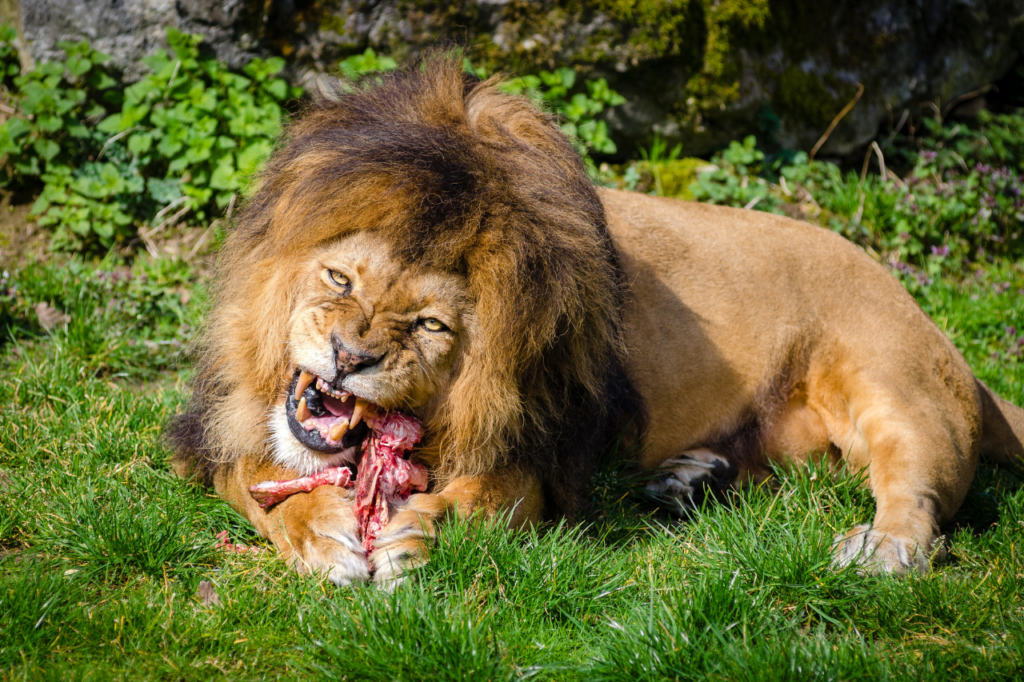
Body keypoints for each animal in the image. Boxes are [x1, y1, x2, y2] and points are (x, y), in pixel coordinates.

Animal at [167, 55, 1024, 585]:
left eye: (431, 327)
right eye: (339, 278)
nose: (348, 357)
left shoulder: (539, 455)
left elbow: (482, 499)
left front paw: (419, 532)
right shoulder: (216, 430)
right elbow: (262, 481)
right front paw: (323, 534)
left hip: (894, 388)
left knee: (918, 497)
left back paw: (878, 547)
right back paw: (688, 479)